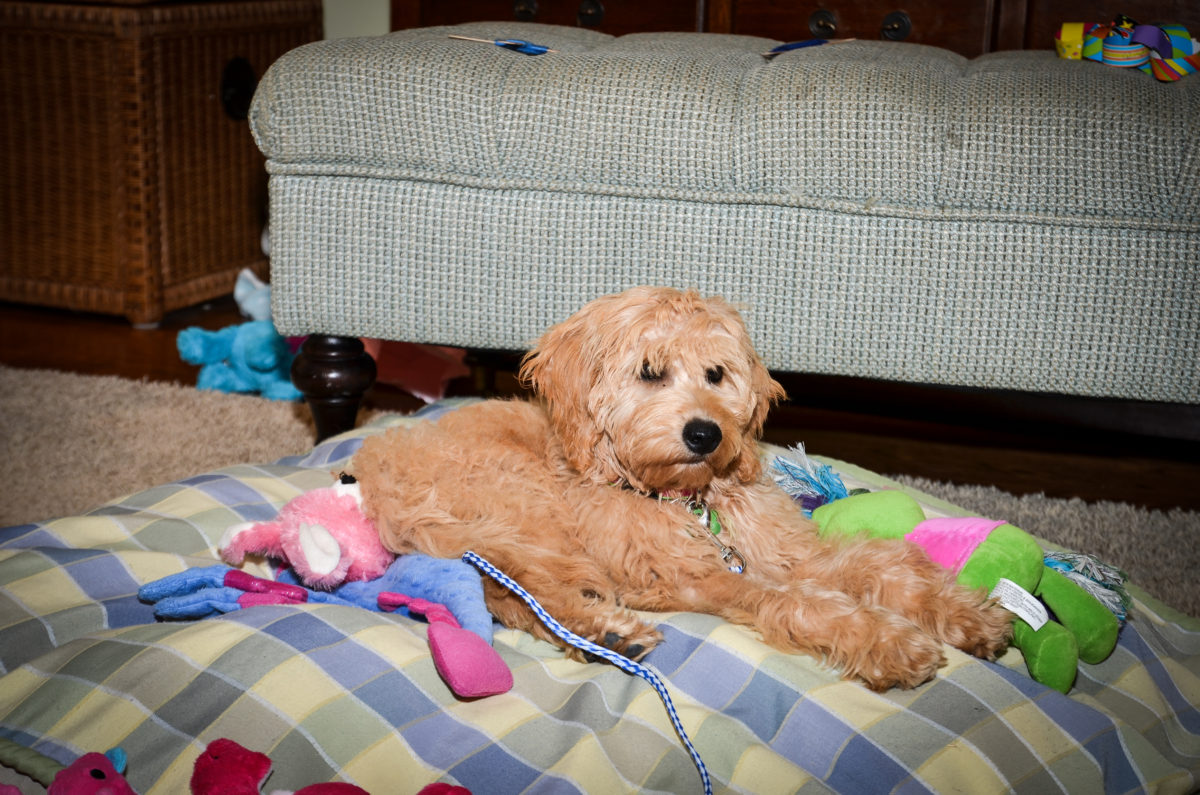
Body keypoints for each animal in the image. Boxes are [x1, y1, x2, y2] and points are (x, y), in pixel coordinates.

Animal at [355, 287, 1012, 691]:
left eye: (717, 374)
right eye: (650, 372)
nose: (705, 433)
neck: (680, 497)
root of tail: (376, 468)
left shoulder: (789, 552)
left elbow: (879, 565)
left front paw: (966, 616)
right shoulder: (688, 578)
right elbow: (798, 600)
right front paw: (887, 642)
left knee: (502, 595)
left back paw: (603, 634)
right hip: (519, 511)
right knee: (527, 592)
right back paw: (605, 632)